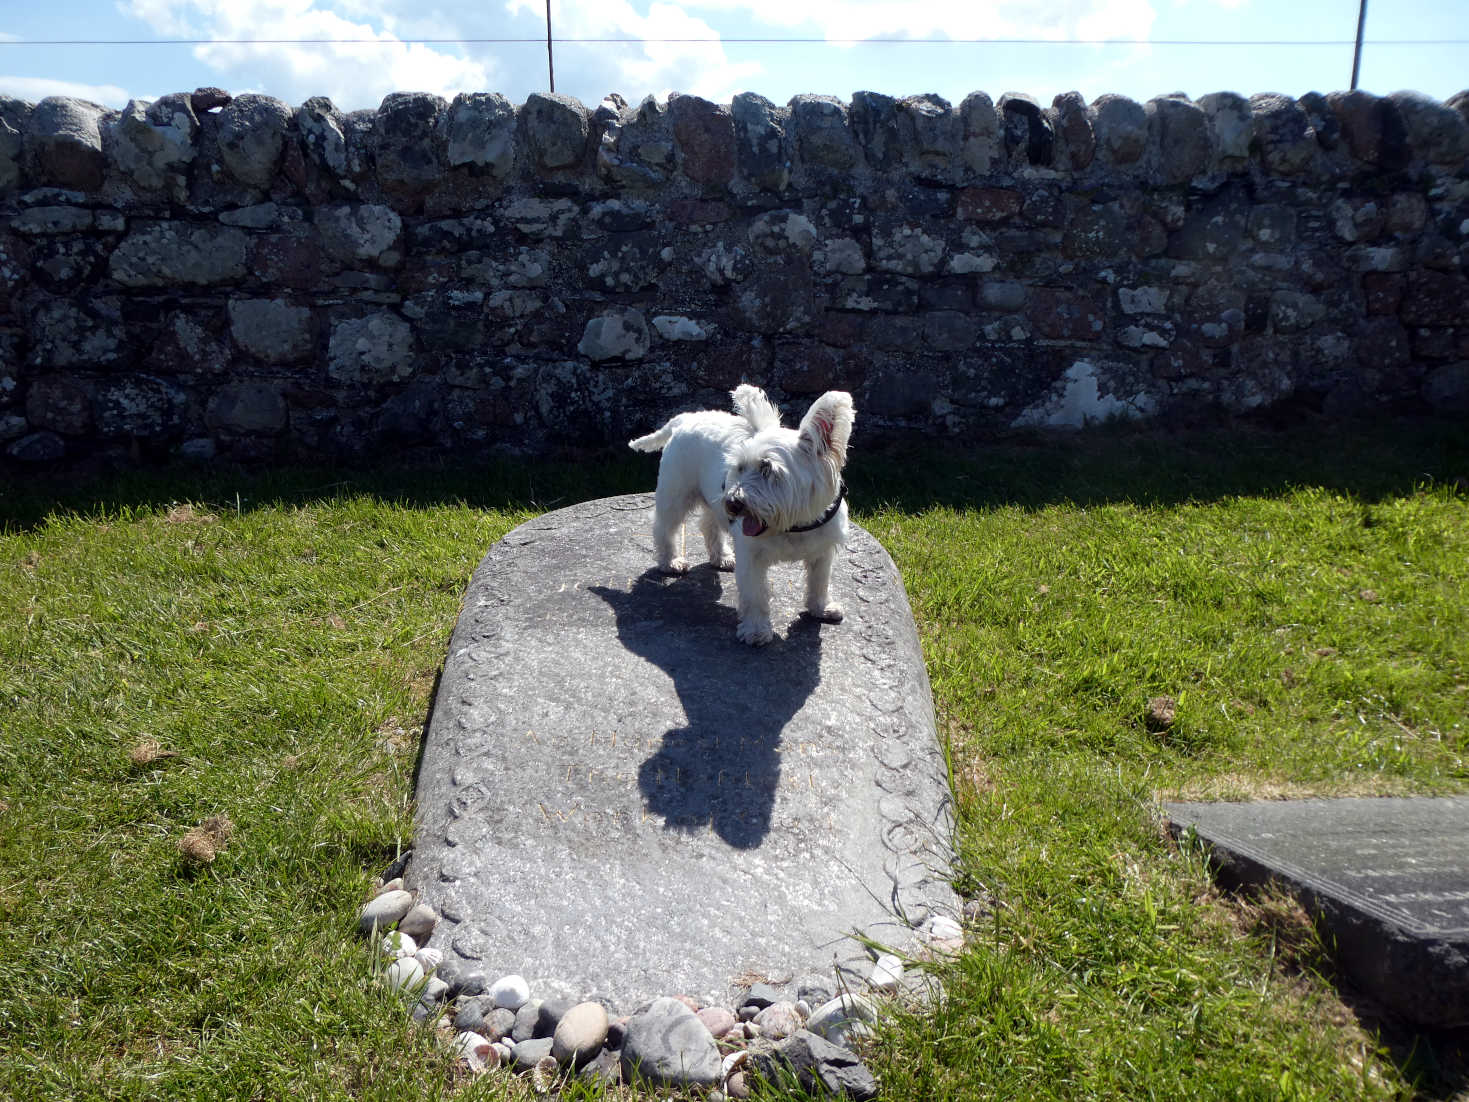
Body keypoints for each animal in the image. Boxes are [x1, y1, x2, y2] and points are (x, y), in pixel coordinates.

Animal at [628, 384, 857, 646]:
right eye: (739, 467)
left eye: (767, 468)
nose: (733, 502)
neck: (794, 525)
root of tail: (685, 418)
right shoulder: (751, 556)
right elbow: (755, 595)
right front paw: (756, 630)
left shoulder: (822, 552)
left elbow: (819, 582)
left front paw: (821, 608)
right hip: (675, 495)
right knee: (664, 528)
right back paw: (670, 561)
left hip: (709, 501)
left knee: (709, 525)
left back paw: (721, 556)